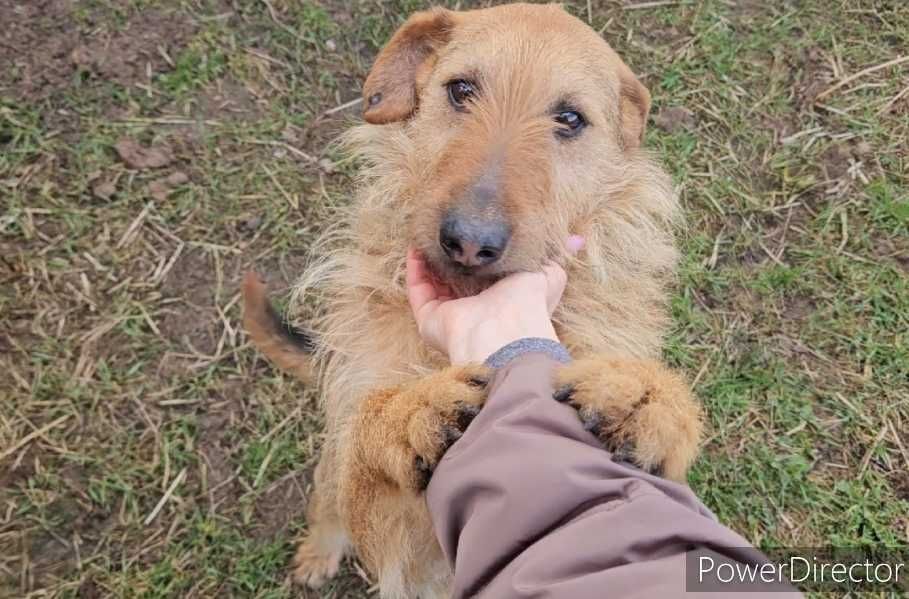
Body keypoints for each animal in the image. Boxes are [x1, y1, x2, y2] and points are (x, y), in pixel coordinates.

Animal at [241, 3, 704, 596]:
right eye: (461, 89)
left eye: (570, 118)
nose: (468, 240)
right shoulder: (396, 534)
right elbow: (370, 438)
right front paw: (412, 412)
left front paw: (646, 398)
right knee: (328, 502)